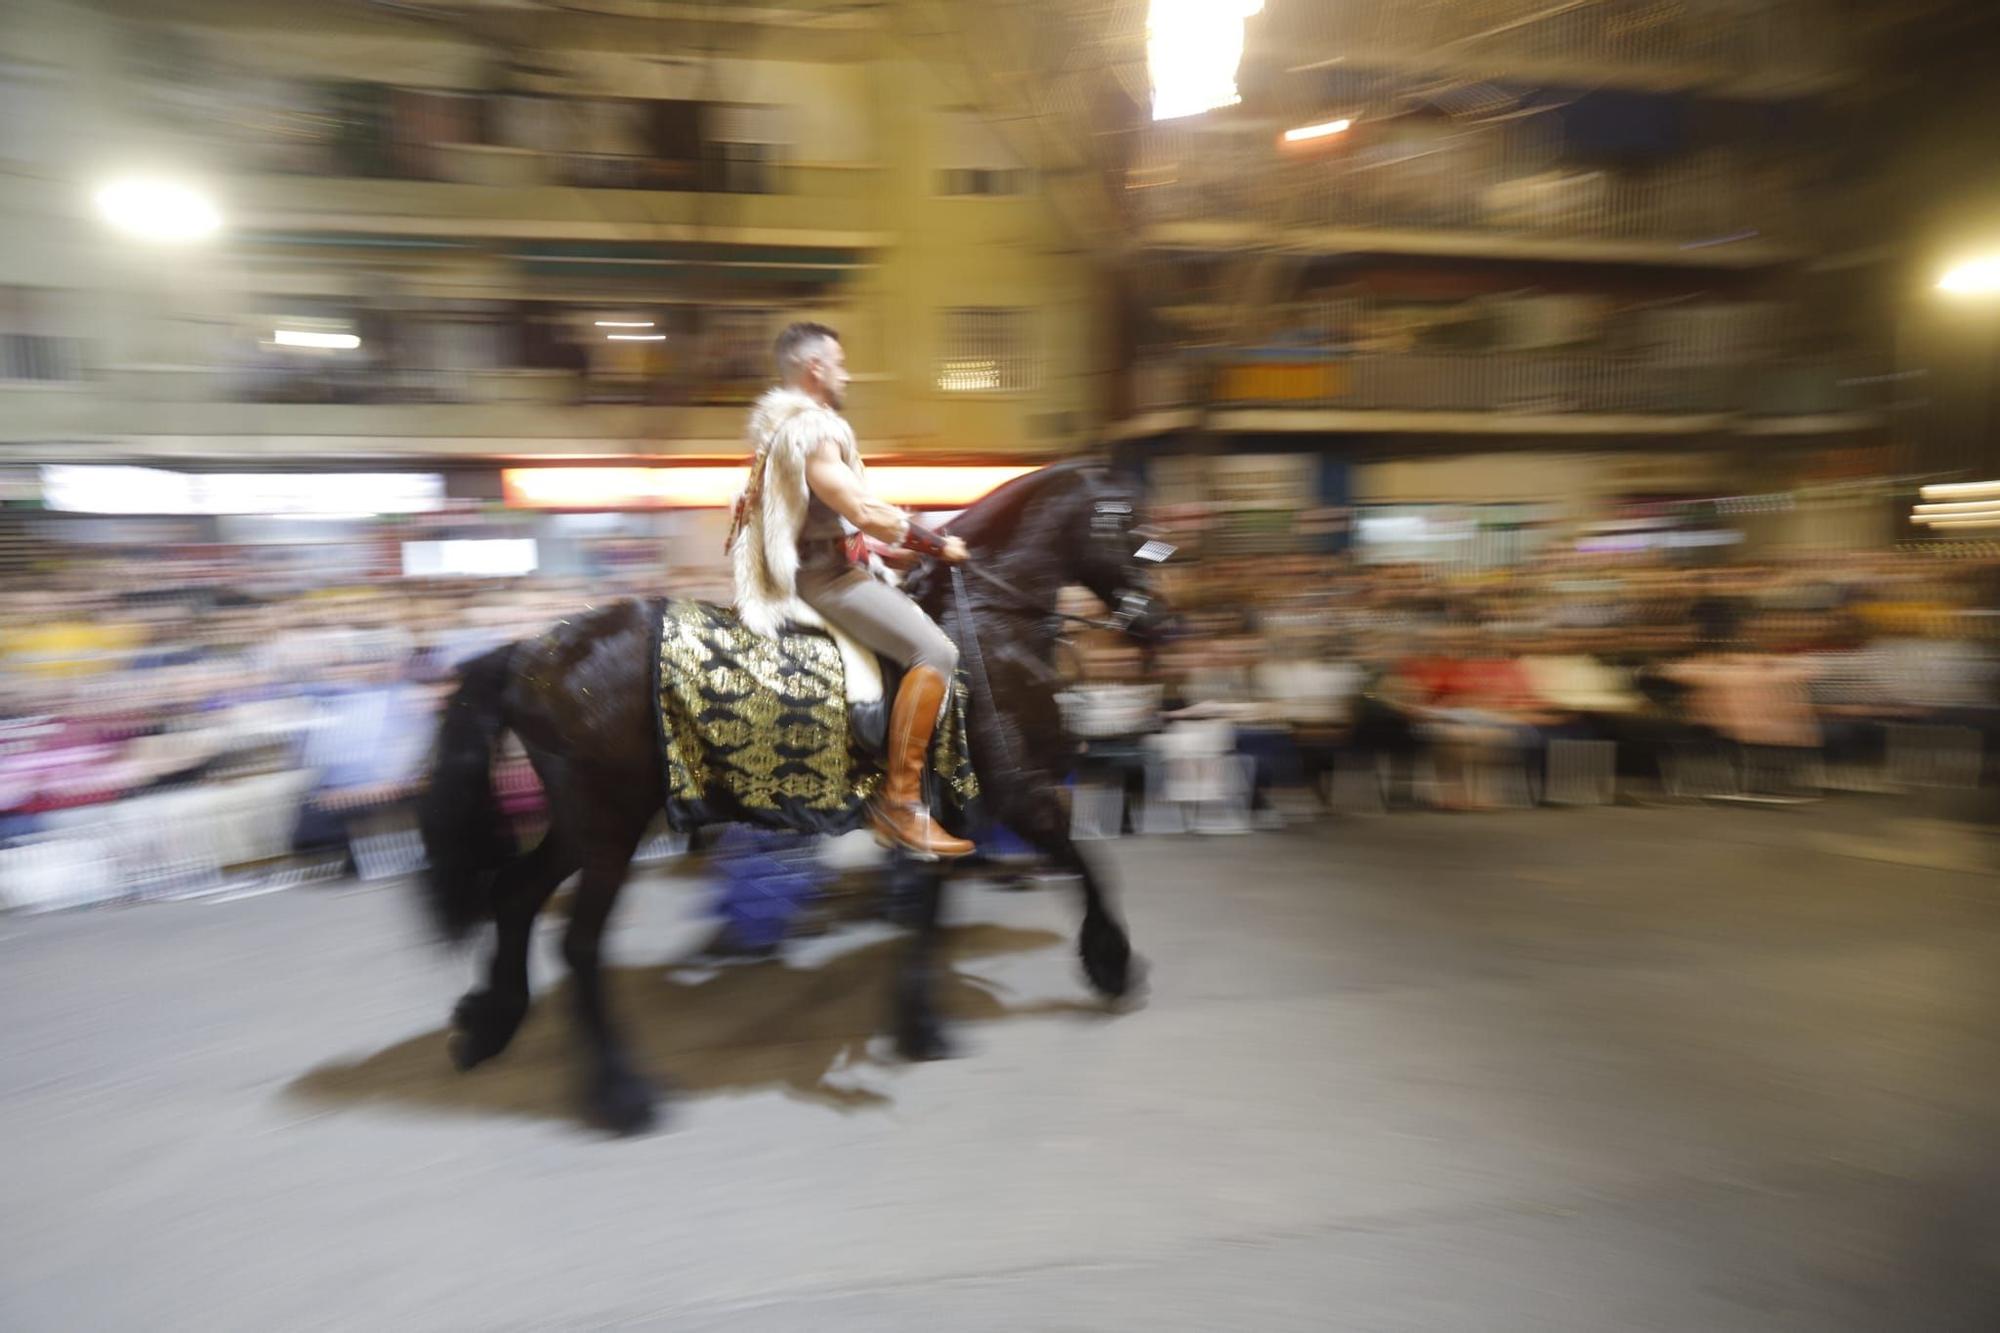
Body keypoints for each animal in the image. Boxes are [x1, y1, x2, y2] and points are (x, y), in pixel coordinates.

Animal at [422, 460, 1168, 1128]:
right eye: (1129, 522)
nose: (1166, 623)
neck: (987, 620)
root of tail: (531, 653)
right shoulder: (1015, 789)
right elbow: (1084, 858)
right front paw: (1110, 961)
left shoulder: (946, 809)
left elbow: (931, 904)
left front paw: (918, 1021)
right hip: (609, 827)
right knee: (578, 944)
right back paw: (621, 1094)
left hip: (583, 824)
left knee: (514, 894)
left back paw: (488, 1023)